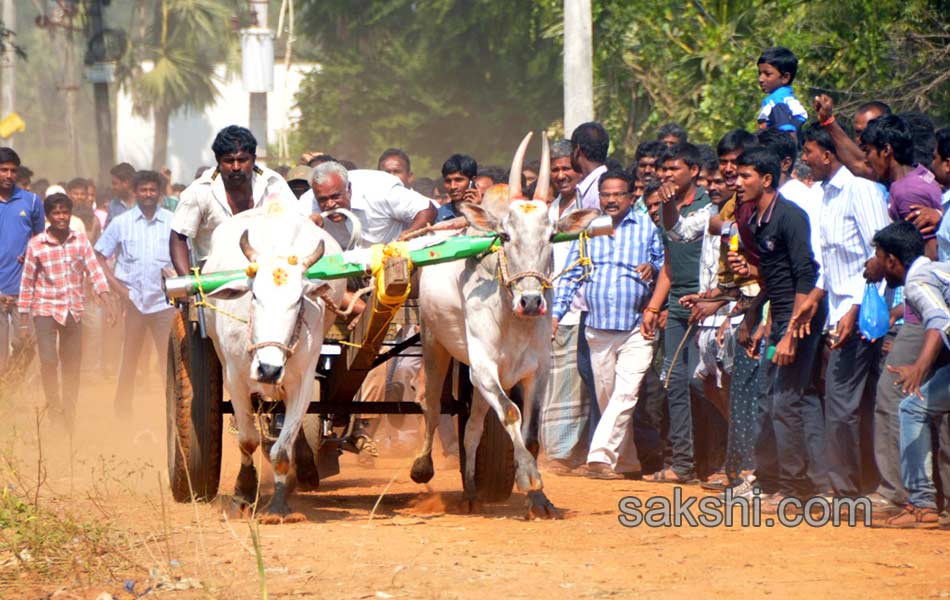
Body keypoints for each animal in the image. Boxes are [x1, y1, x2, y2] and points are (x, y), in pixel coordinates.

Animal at [202, 202, 346, 520]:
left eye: (299, 300)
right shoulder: (235, 378)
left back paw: (305, 469)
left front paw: (279, 504)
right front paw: (243, 492)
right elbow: (247, 440)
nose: (268, 369)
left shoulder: (304, 381)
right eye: (255, 296)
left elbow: (282, 449)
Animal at [410, 134, 604, 516]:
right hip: (433, 343)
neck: (512, 319)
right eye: (506, 236)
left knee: (471, 428)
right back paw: (423, 466)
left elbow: (529, 433)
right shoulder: (484, 369)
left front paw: (539, 499)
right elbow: (512, 415)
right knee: (432, 405)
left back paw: (471, 490)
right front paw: (528, 477)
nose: (530, 302)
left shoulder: (536, 371)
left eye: (552, 236)